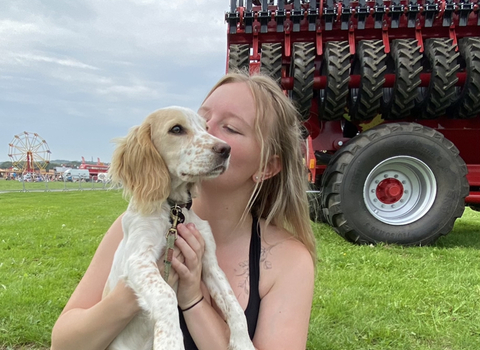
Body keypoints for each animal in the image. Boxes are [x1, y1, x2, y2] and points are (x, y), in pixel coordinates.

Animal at [104, 106, 255, 350]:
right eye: (176, 129)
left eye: (205, 128)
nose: (226, 149)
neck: (173, 211)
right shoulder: (138, 259)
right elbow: (166, 295)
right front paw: (171, 342)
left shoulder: (209, 263)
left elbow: (233, 303)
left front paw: (243, 343)